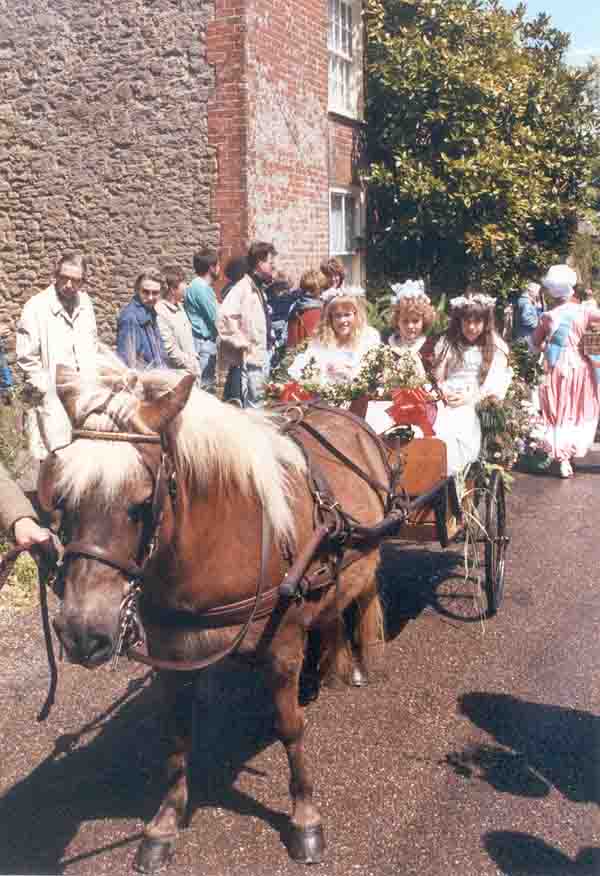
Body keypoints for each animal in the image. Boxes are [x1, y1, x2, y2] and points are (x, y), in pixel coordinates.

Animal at [41, 352, 390, 872]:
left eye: (141, 504)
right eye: (61, 498)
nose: (84, 633)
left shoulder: (282, 646)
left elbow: (290, 729)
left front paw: (305, 819)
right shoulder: (174, 657)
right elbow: (177, 737)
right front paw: (164, 823)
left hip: (369, 554)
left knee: (360, 596)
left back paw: (358, 662)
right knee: (330, 610)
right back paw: (332, 665)